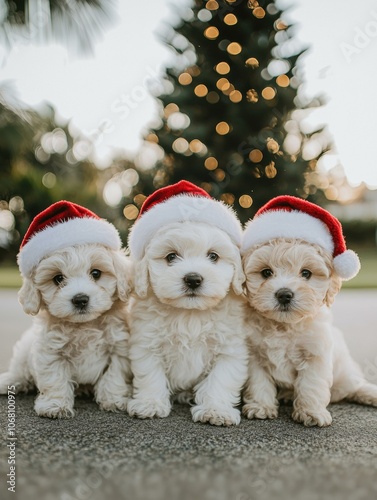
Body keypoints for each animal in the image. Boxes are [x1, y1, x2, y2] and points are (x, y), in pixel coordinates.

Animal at [0, 200, 132, 418]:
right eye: (58, 279)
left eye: (96, 273)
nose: (80, 299)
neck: (84, 326)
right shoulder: (51, 351)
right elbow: (55, 378)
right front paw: (55, 405)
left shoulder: (118, 349)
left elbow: (114, 376)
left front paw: (114, 400)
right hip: (24, 353)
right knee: (20, 370)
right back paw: (8, 382)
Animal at [241, 195, 376, 426]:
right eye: (266, 273)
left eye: (306, 273)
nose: (284, 294)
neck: (283, 326)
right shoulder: (255, 356)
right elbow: (259, 382)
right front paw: (260, 407)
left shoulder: (316, 354)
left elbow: (311, 385)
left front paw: (310, 413)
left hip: (344, 372)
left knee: (353, 385)